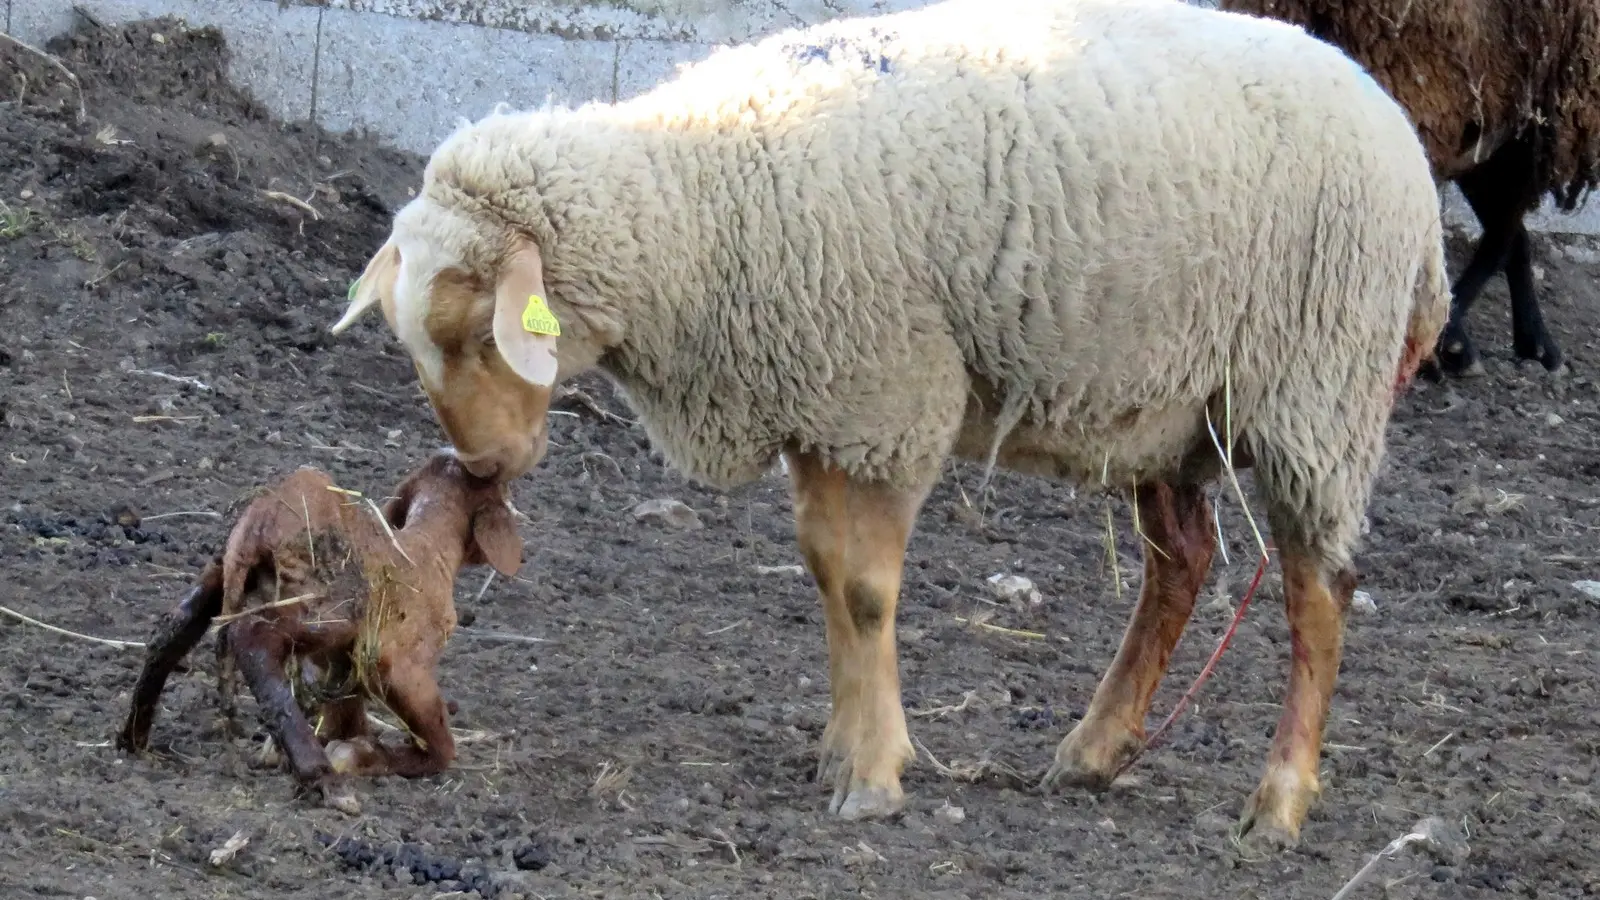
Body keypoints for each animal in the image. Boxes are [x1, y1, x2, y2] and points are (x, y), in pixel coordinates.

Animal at [114, 448, 524, 813]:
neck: (428, 550)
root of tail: (260, 520)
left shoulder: (343, 661)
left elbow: (345, 710)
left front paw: (338, 743)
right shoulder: (398, 663)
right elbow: (439, 745)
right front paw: (355, 755)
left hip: (222, 572)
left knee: (174, 626)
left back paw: (134, 736)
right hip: (321, 606)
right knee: (254, 642)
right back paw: (322, 777)